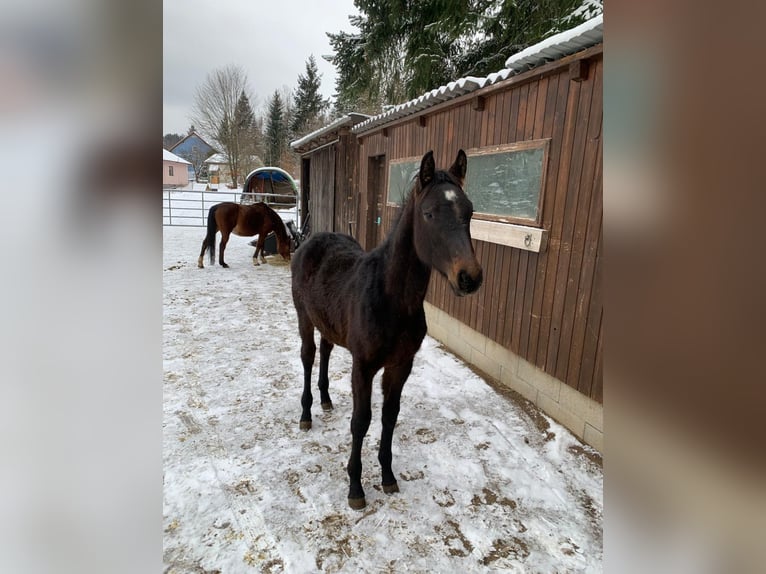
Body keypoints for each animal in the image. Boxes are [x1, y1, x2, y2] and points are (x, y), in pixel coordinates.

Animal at [292, 151, 484, 510]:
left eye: (469, 211)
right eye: (429, 213)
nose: (469, 277)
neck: (392, 300)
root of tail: (311, 239)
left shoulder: (401, 365)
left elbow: (389, 416)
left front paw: (387, 476)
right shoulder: (364, 366)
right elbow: (361, 421)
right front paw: (355, 487)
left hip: (328, 322)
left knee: (325, 351)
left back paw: (326, 400)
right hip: (304, 318)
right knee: (308, 357)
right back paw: (307, 413)